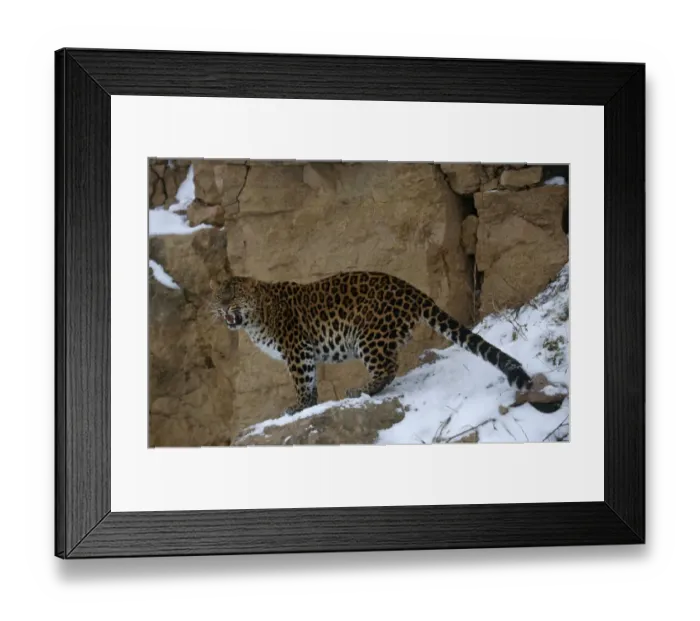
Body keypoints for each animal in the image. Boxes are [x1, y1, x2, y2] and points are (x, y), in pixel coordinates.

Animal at [210, 270, 550, 416]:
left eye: (234, 296)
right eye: (218, 297)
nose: (225, 309)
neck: (256, 316)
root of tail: (412, 289)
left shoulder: (296, 348)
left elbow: (302, 381)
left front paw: (300, 405)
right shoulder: (304, 353)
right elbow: (311, 380)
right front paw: (311, 404)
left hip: (369, 335)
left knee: (388, 367)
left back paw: (362, 389)